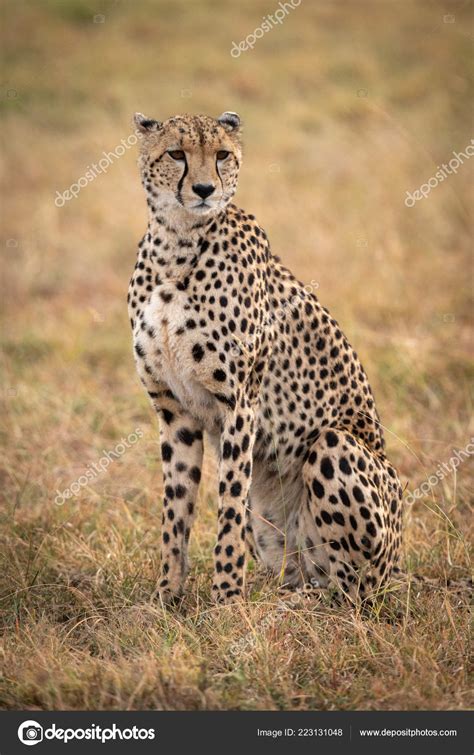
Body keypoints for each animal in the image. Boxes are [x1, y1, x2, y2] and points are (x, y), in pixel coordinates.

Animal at [129, 113, 404, 608]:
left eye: (222, 154)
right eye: (176, 153)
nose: (204, 189)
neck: (177, 244)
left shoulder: (240, 403)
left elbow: (228, 508)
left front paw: (225, 600)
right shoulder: (174, 411)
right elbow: (175, 511)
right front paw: (165, 597)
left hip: (335, 448)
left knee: (352, 593)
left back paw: (299, 606)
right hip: (283, 541)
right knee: (305, 571)